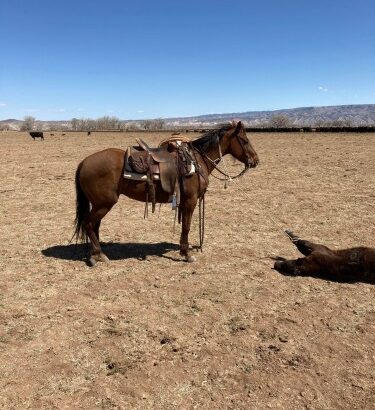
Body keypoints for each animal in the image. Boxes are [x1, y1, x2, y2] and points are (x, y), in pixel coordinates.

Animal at [75, 120, 260, 266]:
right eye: (244, 140)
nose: (255, 160)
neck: (197, 161)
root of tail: (84, 162)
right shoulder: (190, 200)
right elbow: (187, 226)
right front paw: (187, 254)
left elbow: (185, 225)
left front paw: (184, 250)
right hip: (104, 204)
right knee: (89, 224)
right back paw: (99, 255)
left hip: (100, 205)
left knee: (94, 225)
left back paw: (94, 254)